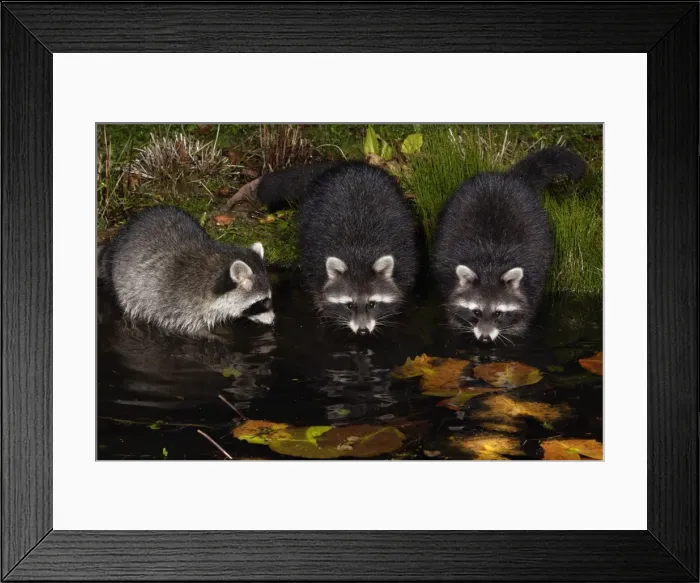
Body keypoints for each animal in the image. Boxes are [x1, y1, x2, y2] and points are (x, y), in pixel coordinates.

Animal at [258, 162, 419, 335]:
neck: (360, 256)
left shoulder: (404, 257)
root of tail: (347, 165)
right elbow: (319, 291)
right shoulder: (316, 260)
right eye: (350, 305)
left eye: (371, 304)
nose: (362, 331)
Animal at [432, 146, 587, 343]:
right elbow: (452, 308)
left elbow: (524, 310)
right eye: (476, 312)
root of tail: (508, 177)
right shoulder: (447, 275)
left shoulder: (532, 279)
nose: (485, 338)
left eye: (498, 313)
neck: (489, 266)